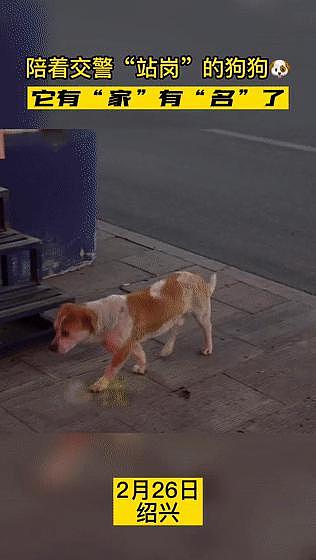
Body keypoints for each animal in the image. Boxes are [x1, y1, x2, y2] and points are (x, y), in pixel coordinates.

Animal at [50, 270, 217, 392]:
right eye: (55, 329)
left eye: (66, 333)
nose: (51, 348)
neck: (105, 315)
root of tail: (197, 277)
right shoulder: (131, 343)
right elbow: (141, 354)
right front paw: (142, 367)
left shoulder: (122, 350)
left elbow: (111, 368)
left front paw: (101, 384)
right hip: (175, 316)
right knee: (174, 331)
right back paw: (167, 349)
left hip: (201, 314)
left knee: (207, 328)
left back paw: (208, 348)